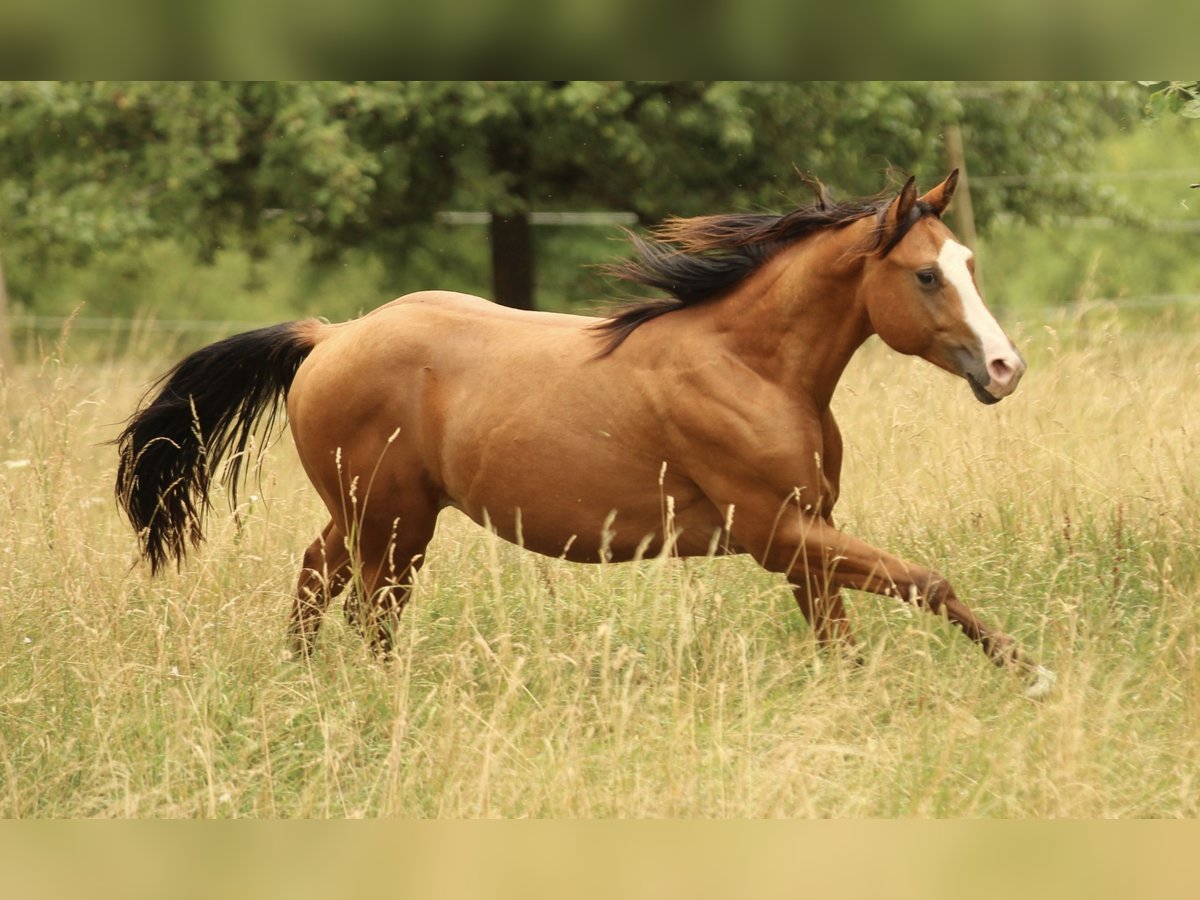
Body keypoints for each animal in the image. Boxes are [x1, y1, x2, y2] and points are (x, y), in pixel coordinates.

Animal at [115, 171, 1056, 698]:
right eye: (927, 275)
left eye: (968, 263)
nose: (1006, 368)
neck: (751, 366)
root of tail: (328, 337)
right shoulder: (775, 531)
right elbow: (926, 581)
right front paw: (1034, 675)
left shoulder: (805, 532)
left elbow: (838, 633)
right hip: (394, 521)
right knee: (370, 610)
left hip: (366, 515)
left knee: (319, 580)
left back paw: (304, 682)